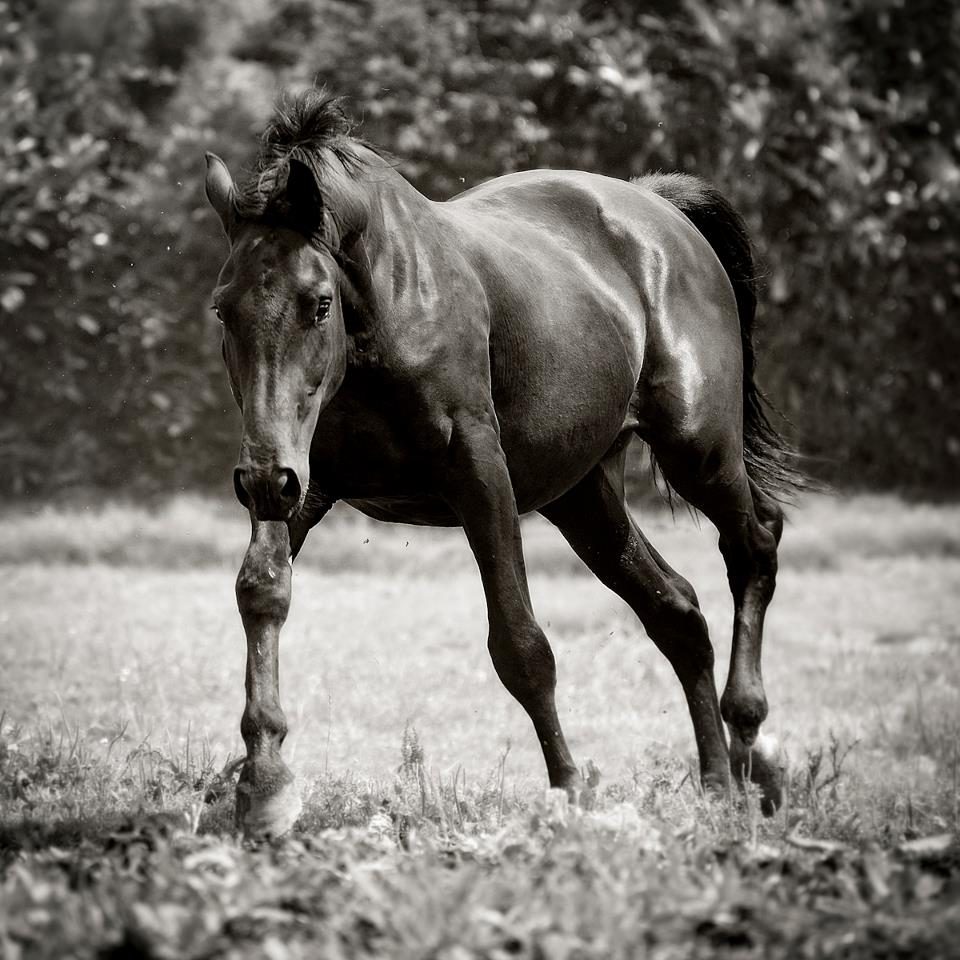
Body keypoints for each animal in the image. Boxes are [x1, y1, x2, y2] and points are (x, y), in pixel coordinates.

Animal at [204, 88, 801, 837]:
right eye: (223, 310)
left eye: (318, 304)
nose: (259, 479)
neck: (385, 312)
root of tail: (658, 209)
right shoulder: (302, 484)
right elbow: (263, 593)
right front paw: (262, 785)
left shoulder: (479, 476)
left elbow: (520, 645)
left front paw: (569, 791)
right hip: (583, 497)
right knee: (678, 612)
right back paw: (719, 785)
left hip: (699, 448)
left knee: (754, 542)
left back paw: (753, 749)